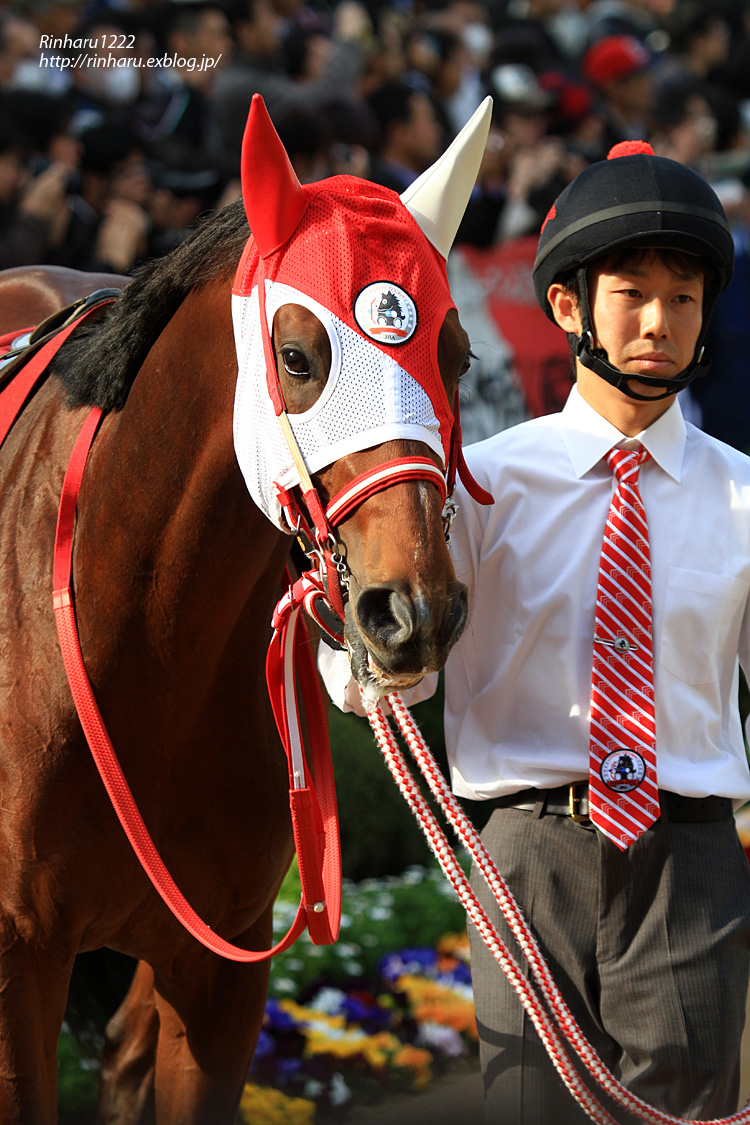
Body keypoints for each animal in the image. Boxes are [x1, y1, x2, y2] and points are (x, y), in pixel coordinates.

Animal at [0, 96, 492, 1125]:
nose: (413, 609)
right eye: (298, 355)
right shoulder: (17, 957)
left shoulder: (219, 966)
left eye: (456, 357)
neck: (142, 651)